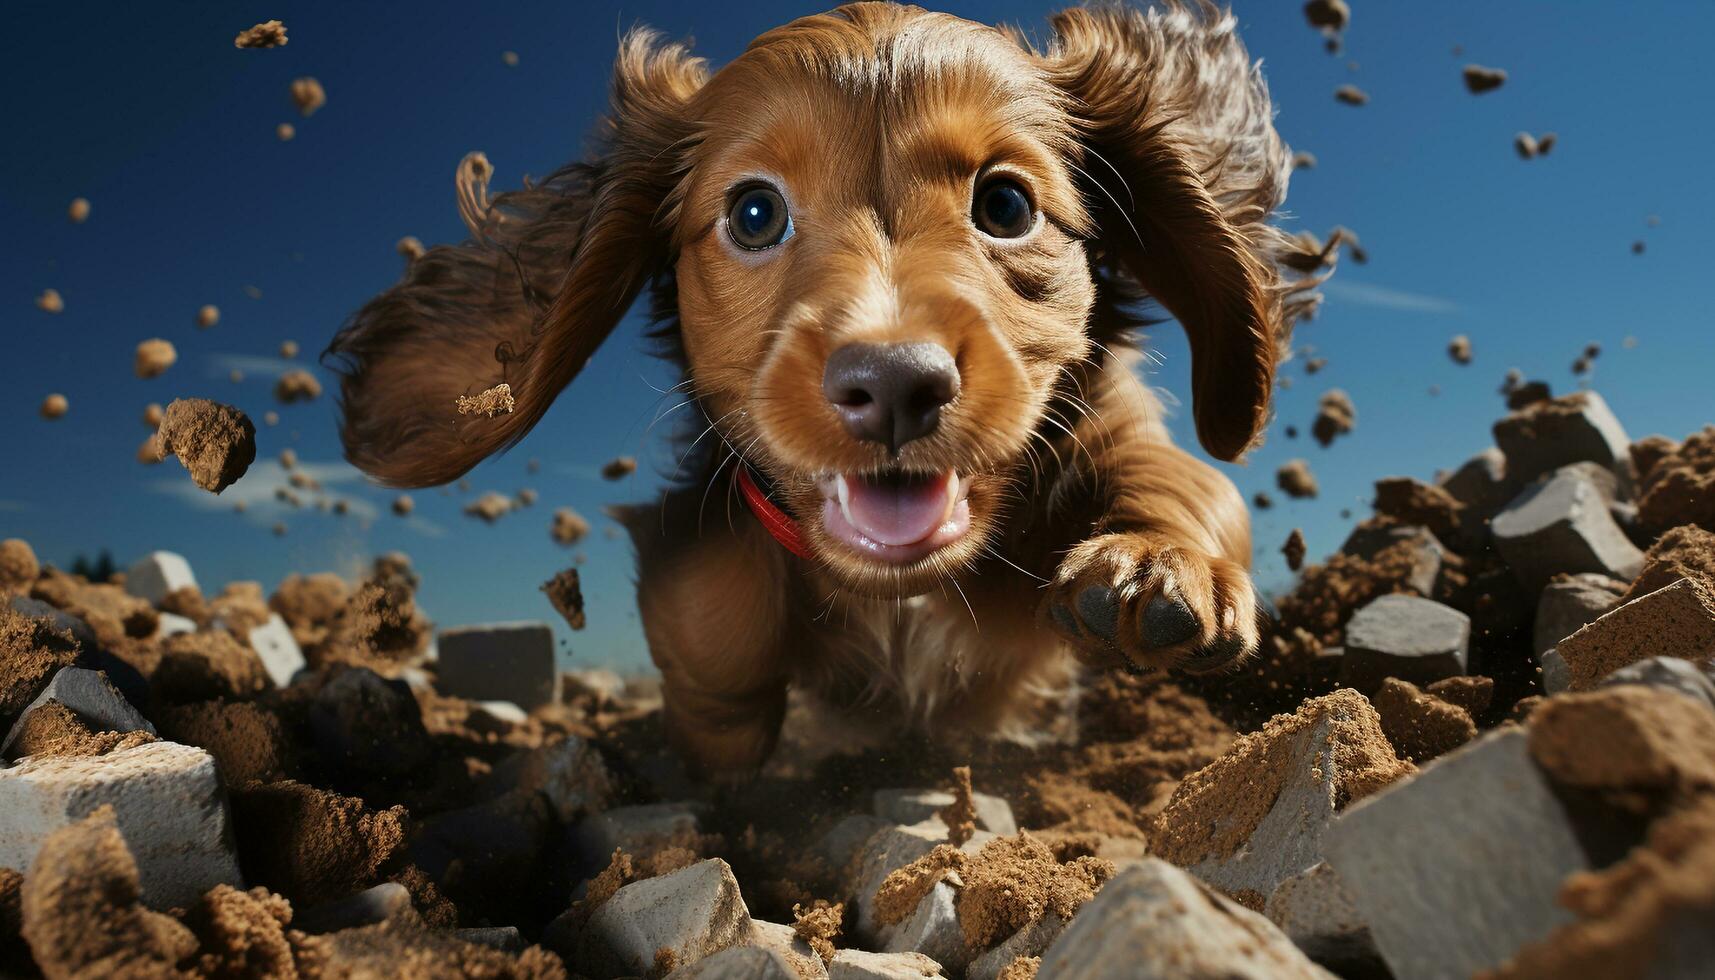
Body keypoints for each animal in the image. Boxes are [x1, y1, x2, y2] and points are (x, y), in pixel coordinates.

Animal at [330, 1, 1323, 782]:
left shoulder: (1110, 423)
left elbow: (1188, 479)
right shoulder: (715, 519)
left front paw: (1156, 566)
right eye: (753, 213)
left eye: (1004, 206)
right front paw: (718, 745)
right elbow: (715, 602)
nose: (893, 384)